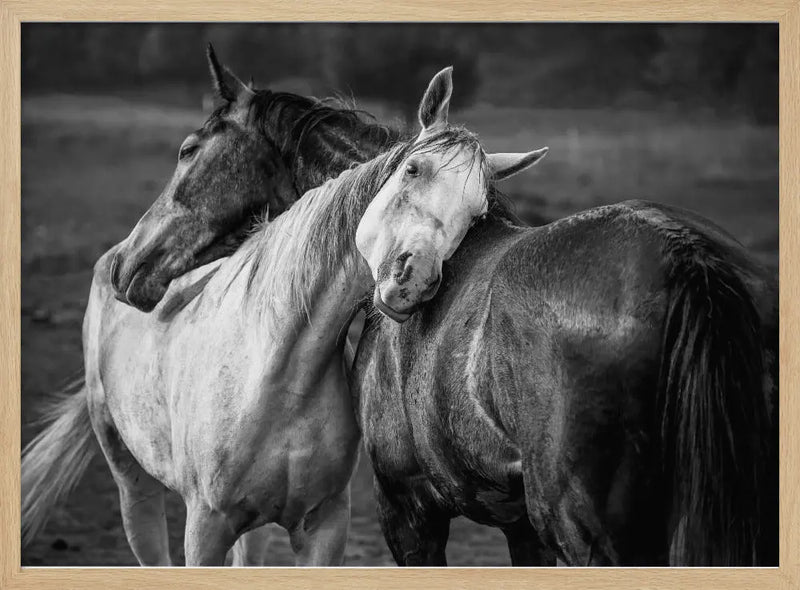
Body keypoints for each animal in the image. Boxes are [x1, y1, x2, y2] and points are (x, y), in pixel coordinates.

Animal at [104, 48, 776, 568]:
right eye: (411, 168)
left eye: (189, 149)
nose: (125, 265)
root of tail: (684, 259)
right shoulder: (521, 529)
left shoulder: (407, 511)